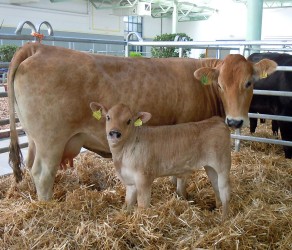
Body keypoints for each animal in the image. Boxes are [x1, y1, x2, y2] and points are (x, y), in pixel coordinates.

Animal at [8, 42, 278, 200]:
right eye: (220, 84)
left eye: (249, 83)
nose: (235, 122)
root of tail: (40, 47)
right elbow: (183, 173)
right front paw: (182, 197)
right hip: (51, 140)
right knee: (43, 173)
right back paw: (47, 204)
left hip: (34, 139)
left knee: (31, 166)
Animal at [90, 102, 232, 220]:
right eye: (108, 117)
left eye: (129, 120)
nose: (114, 133)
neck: (121, 156)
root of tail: (216, 120)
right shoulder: (130, 182)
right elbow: (128, 203)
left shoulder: (144, 179)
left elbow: (142, 206)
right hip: (210, 167)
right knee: (216, 185)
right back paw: (218, 209)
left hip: (223, 164)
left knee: (225, 190)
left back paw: (224, 219)